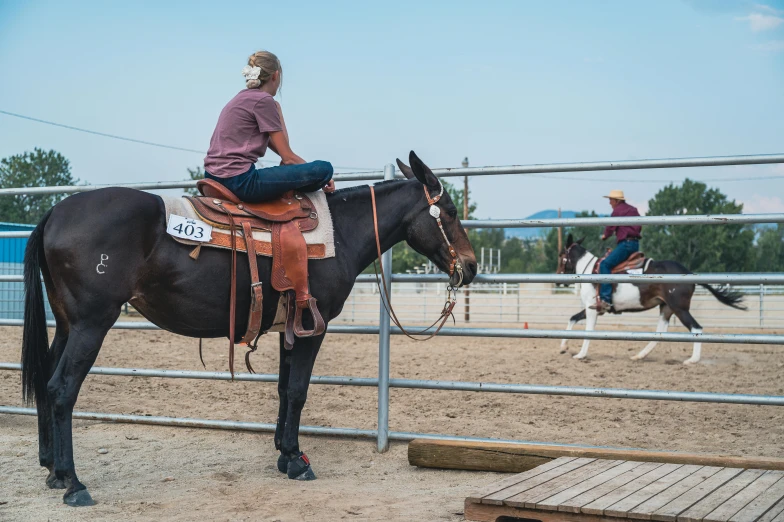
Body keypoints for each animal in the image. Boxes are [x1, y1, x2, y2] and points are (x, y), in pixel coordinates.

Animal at [556, 235, 744, 362]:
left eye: (561, 256)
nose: (558, 278)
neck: (590, 270)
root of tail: (689, 273)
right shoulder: (593, 308)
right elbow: (572, 318)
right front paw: (563, 346)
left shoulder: (591, 308)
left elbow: (587, 331)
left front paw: (580, 354)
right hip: (666, 308)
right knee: (660, 333)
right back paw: (639, 355)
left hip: (680, 308)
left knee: (696, 328)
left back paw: (693, 360)